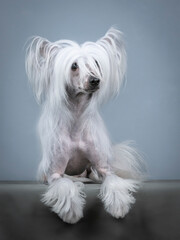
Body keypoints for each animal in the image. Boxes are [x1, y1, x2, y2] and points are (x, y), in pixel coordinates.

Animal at [25, 27, 144, 223]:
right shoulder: (55, 173)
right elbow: (64, 185)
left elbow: (114, 182)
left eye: (96, 63)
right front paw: (71, 211)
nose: (95, 80)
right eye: (74, 66)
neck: (77, 119)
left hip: (93, 170)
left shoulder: (104, 168)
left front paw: (119, 205)